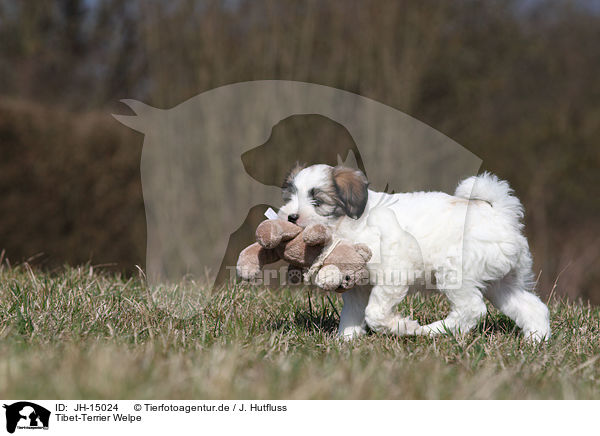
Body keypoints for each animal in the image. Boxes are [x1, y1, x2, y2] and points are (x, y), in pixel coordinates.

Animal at [278, 164, 552, 340]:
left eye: (318, 201)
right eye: (290, 197)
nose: (290, 217)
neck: (350, 223)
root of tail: (500, 214)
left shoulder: (395, 269)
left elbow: (374, 313)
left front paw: (402, 327)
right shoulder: (358, 286)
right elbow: (352, 315)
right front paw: (346, 342)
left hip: (456, 273)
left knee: (472, 309)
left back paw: (434, 330)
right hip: (502, 281)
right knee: (531, 307)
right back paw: (535, 341)